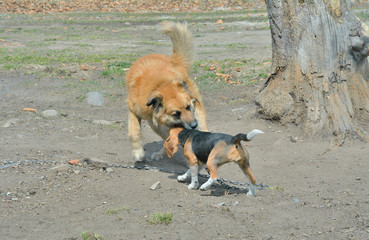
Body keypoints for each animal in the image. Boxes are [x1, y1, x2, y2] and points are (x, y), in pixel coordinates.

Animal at [126, 22, 207, 161]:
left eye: (188, 107)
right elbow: (134, 131)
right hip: (155, 125)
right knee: (168, 139)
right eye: (176, 114)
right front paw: (138, 152)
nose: (194, 125)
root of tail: (172, 60)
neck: (160, 85)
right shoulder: (133, 110)